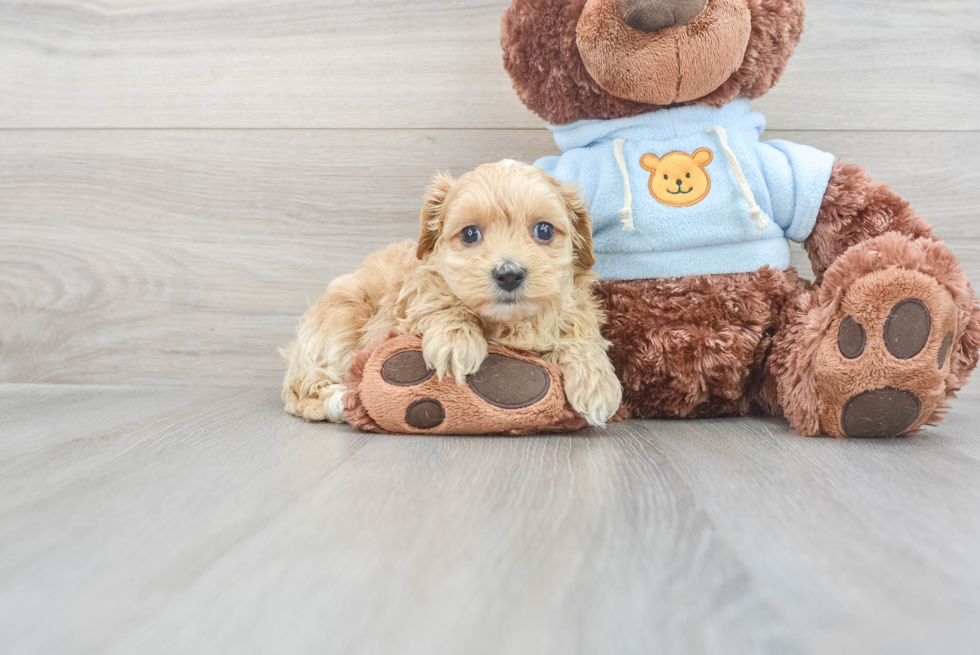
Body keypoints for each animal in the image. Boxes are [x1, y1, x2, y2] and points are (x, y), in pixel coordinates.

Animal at [282, 161, 620, 428]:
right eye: (470, 234)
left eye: (545, 231)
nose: (509, 274)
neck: (508, 323)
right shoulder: (409, 299)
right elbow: (439, 300)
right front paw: (456, 341)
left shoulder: (574, 305)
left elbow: (579, 332)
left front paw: (596, 381)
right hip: (343, 320)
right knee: (301, 387)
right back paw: (340, 401)